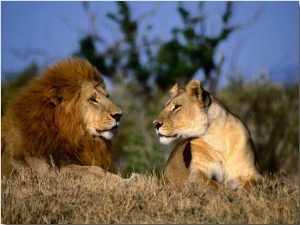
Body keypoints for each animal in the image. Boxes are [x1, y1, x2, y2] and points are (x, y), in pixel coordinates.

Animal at [0, 57, 134, 183]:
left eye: (107, 96)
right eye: (93, 99)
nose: (119, 115)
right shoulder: (45, 170)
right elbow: (90, 170)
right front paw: (130, 180)